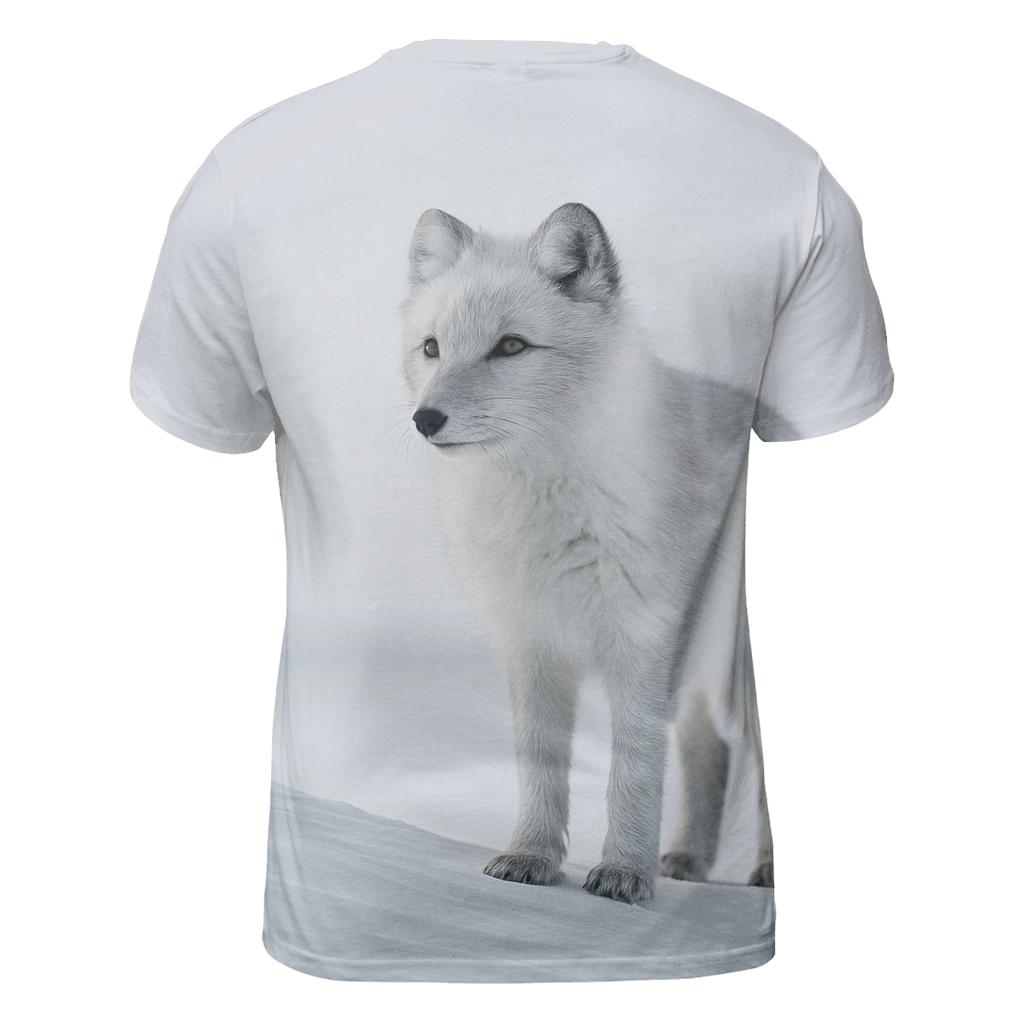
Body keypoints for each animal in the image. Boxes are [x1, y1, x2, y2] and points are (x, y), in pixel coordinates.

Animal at [401, 203, 774, 903]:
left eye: (511, 346)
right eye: (432, 347)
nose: (425, 420)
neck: (546, 509)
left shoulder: (643, 638)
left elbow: (635, 768)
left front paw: (624, 872)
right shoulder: (531, 641)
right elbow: (540, 764)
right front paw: (532, 856)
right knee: (708, 748)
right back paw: (689, 859)